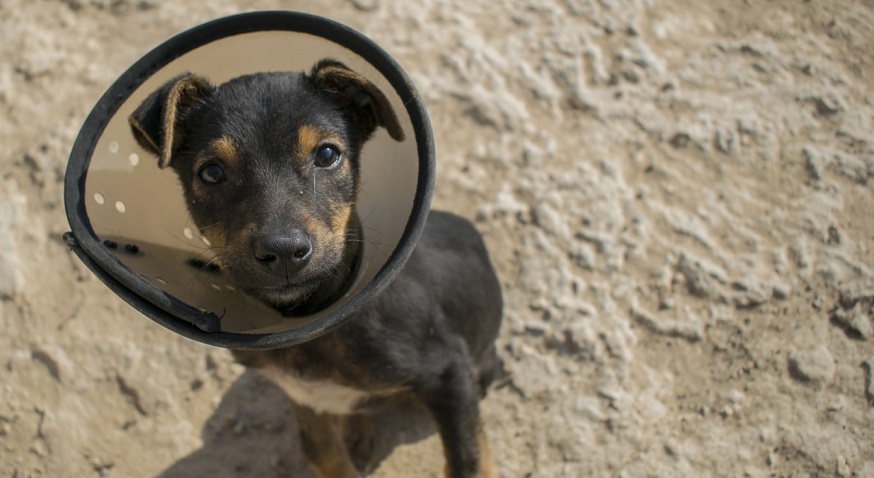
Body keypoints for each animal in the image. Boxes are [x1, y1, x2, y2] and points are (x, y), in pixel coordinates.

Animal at [126, 60, 500, 478]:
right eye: (211, 173)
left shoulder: (448, 374)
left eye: (326, 154)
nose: (284, 252)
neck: (311, 324)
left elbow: (468, 462)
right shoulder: (304, 396)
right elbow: (322, 453)